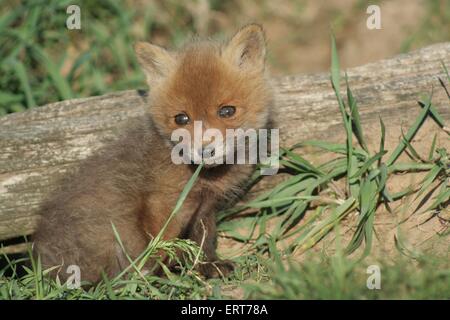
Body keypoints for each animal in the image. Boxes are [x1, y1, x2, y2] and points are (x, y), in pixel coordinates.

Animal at [33, 24, 272, 282]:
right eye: (181, 118)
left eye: (227, 111)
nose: (205, 150)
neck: (203, 178)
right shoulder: (162, 203)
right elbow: (161, 246)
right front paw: (159, 279)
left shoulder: (204, 208)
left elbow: (203, 241)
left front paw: (209, 265)